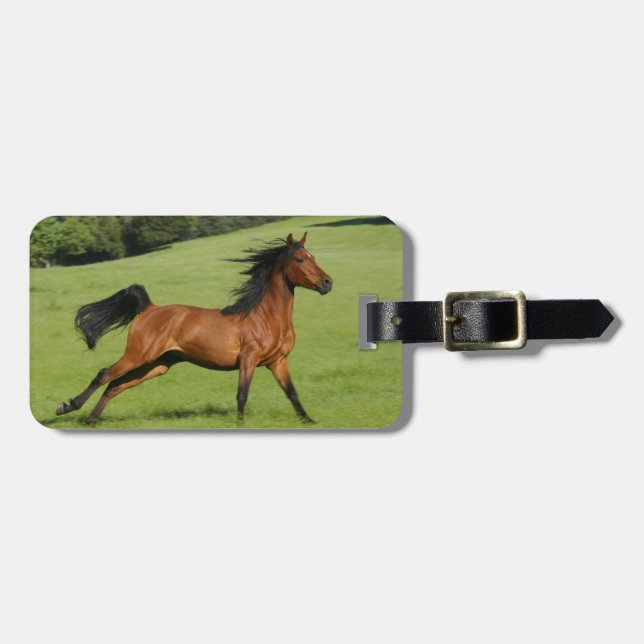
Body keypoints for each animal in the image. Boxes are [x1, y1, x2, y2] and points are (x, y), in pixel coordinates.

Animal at [55, 232, 333, 425]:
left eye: (314, 257)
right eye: (300, 259)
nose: (327, 282)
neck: (266, 317)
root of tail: (150, 308)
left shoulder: (278, 361)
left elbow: (292, 393)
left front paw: (309, 420)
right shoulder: (249, 359)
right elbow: (242, 394)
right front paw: (239, 424)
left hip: (155, 365)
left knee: (115, 385)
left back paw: (91, 420)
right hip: (138, 355)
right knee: (104, 374)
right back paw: (67, 407)